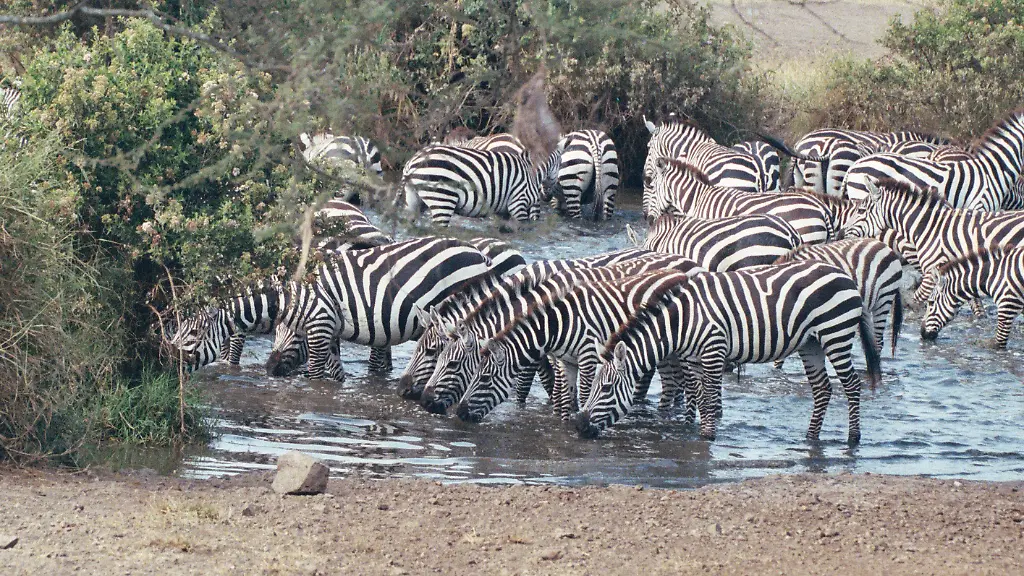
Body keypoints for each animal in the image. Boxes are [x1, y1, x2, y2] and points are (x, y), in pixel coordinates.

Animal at [401, 144, 563, 227]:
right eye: (561, 163)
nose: (547, 196)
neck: (531, 170)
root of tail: (412, 162)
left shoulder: (503, 211)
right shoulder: (518, 204)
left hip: (414, 199)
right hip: (442, 199)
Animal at [420, 252, 702, 418]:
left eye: (451, 363)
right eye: (436, 356)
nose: (423, 400)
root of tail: (690, 262)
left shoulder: (568, 353)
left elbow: (531, 387)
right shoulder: (554, 352)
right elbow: (559, 389)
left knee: (682, 383)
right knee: (673, 382)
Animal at [576, 262, 881, 444]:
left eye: (605, 388)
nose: (578, 426)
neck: (682, 321)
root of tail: (846, 277)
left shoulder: (713, 351)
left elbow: (710, 398)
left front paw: (708, 436)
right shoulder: (693, 359)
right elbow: (699, 396)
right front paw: (699, 430)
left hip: (835, 333)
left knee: (852, 384)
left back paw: (853, 437)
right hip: (811, 343)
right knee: (823, 389)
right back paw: (810, 436)